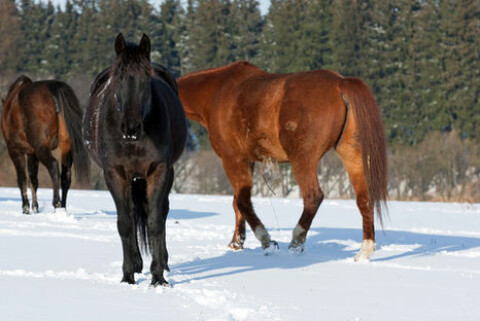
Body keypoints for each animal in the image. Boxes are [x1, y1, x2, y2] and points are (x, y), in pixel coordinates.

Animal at [1, 75, 89, 212]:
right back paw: (63, 208)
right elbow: (33, 179)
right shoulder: (31, 153)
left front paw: (26, 208)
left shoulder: (15, 150)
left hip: (41, 148)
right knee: (66, 176)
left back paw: (56, 203)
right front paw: (35, 207)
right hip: (65, 148)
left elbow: (22, 179)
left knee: (53, 166)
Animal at [82, 34, 188, 284]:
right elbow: (125, 224)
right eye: (119, 78)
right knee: (131, 214)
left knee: (160, 212)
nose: (131, 127)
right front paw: (128, 275)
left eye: (145, 79)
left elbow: (155, 221)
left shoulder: (159, 171)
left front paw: (158, 277)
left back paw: (163, 263)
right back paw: (138, 264)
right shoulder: (115, 174)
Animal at [178, 60, 388, 260]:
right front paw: (237, 243)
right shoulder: (248, 160)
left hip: (303, 160)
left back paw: (297, 241)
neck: (216, 92)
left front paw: (266, 241)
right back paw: (365, 250)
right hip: (351, 155)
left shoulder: (232, 159)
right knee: (364, 199)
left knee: (313, 196)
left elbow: (242, 202)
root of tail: (340, 82)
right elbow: (237, 202)